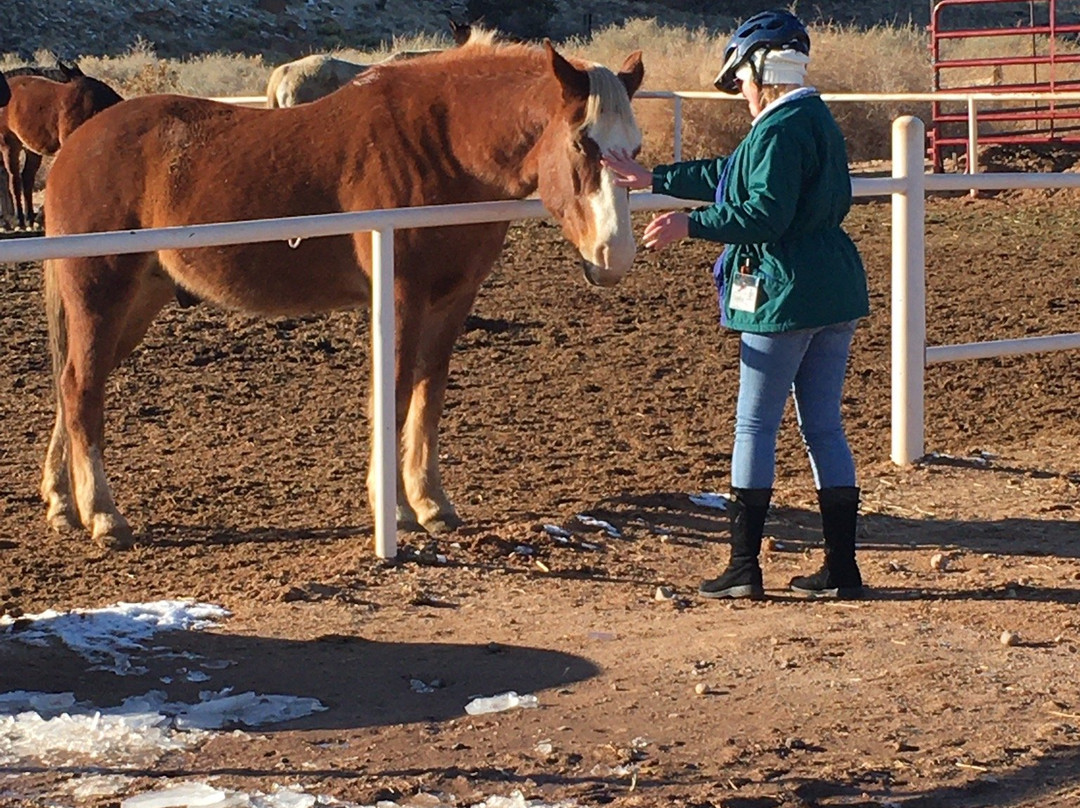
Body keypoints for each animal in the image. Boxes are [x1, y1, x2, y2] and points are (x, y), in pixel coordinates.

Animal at [0, 60, 123, 226]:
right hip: (9, 144)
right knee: (14, 179)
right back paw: (20, 219)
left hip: (32, 150)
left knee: (27, 178)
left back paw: (30, 217)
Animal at [42, 41, 643, 553]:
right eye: (582, 142)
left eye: (634, 150)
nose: (613, 255)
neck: (443, 143)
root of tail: (76, 145)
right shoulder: (401, 296)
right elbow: (395, 394)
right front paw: (394, 509)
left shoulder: (451, 301)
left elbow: (428, 396)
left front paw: (432, 503)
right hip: (101, 294)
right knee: (81, 389)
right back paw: (104, 516)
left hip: (136, 304)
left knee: (73, 385)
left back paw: (62, 502)